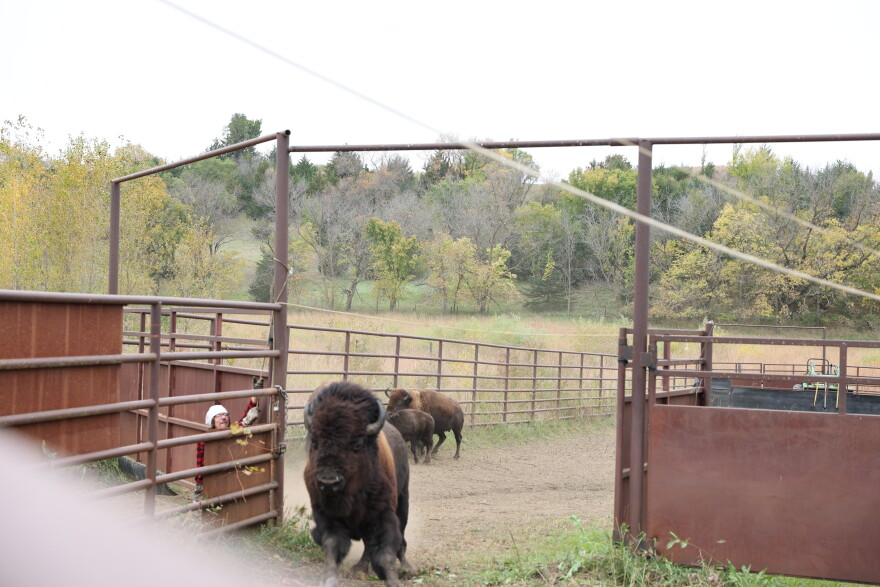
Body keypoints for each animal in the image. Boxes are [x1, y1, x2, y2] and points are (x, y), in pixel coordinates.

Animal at [303, 381, 414, 587]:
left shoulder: (381, 514)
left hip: (403, 500)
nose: (329, 482)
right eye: (315, 442)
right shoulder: (324, 512)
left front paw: (393, 580)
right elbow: (332, 544)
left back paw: (406, 567)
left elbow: (385, 553)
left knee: (400, 536)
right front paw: (329, 578)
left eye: (356, 445)